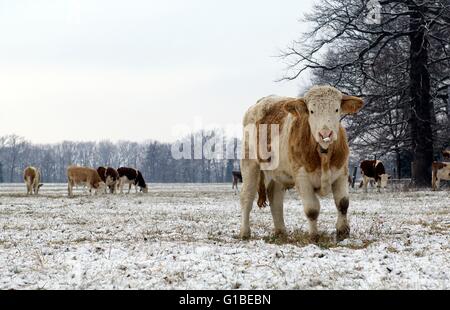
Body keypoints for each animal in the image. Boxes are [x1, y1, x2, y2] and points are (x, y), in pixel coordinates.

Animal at [241, 85, 364, 242]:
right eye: (311, 111)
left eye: (336, 109)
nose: (325, 134)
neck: (323, 153)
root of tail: (262, 101)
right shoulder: (302, 177)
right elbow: (312, 209)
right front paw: (314, 236)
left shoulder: (342, 173)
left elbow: (342, 203)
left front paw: (343, 233)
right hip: (249, 164)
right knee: (247, 197)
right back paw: (245, 232)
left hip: (278, 173)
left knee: (275, 199)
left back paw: (281, 232)